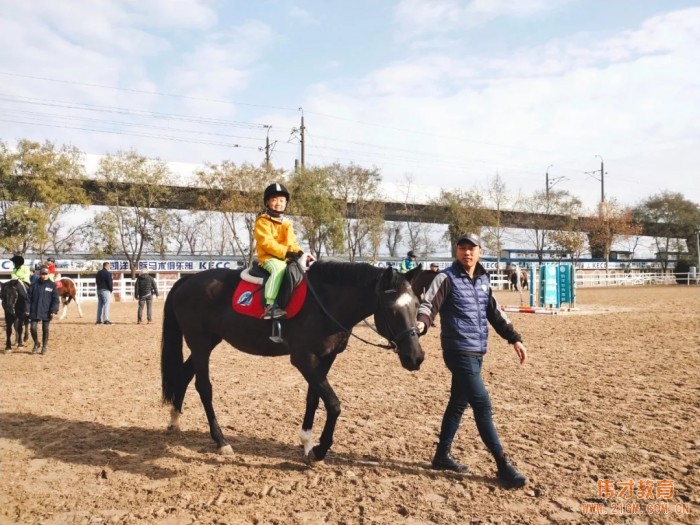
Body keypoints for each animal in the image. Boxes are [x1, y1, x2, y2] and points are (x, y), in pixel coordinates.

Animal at [163, 260, 426, 460]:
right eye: (392, 309)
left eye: (416, 305)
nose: (415, 357)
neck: (325, 303)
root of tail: (187, 280)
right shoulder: (303, 359)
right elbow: (333, 404)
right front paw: (319, 450)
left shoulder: (325, 358)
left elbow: (314, 398)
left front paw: (307, 443)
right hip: (200, 343)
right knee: (204, 387)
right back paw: (221, 441)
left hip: (208, 342)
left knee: (184, 376)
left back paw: (175, 421)